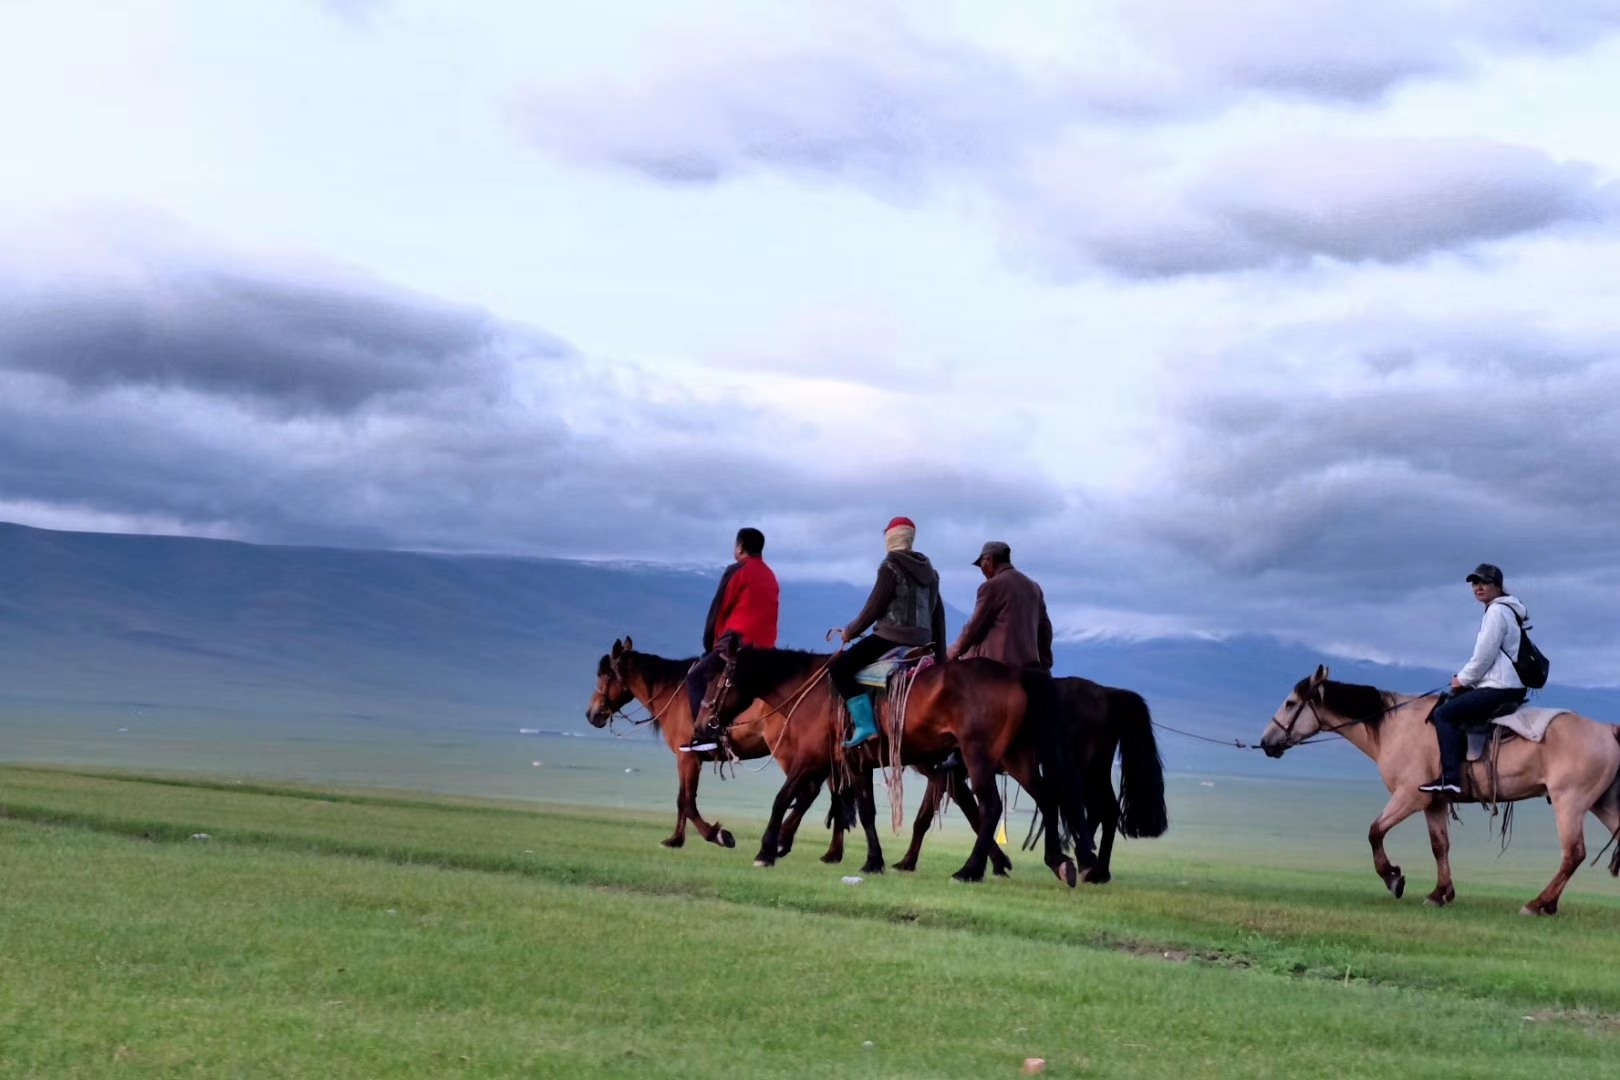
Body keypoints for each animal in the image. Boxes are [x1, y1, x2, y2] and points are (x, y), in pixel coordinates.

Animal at [725, 650, 1088, 887]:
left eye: (721, 676)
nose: (714, 723)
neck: (812, 693)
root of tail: (1016, 674)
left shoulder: (810, 758)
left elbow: (784, 798)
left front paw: (767, 850)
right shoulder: (857, 764)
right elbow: (866, 811)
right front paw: (874, 861)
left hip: (979, 756)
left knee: (991, 806)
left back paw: (969, 870)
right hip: (1016, 757)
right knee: (1047, 797)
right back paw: (1058, 862)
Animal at [1257, 663, 1620, 919]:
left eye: (1290, 703)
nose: (1266, 742)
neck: (1392, 726)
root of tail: (1608, 730)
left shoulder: (1409, 796)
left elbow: (1375, 831)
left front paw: (1393, 878)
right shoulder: (1434, 801)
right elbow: (1439, 846)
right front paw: (1439, 893)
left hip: (1568, 802)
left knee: (1573, 853)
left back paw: (1538, 903)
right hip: (1602, 804)